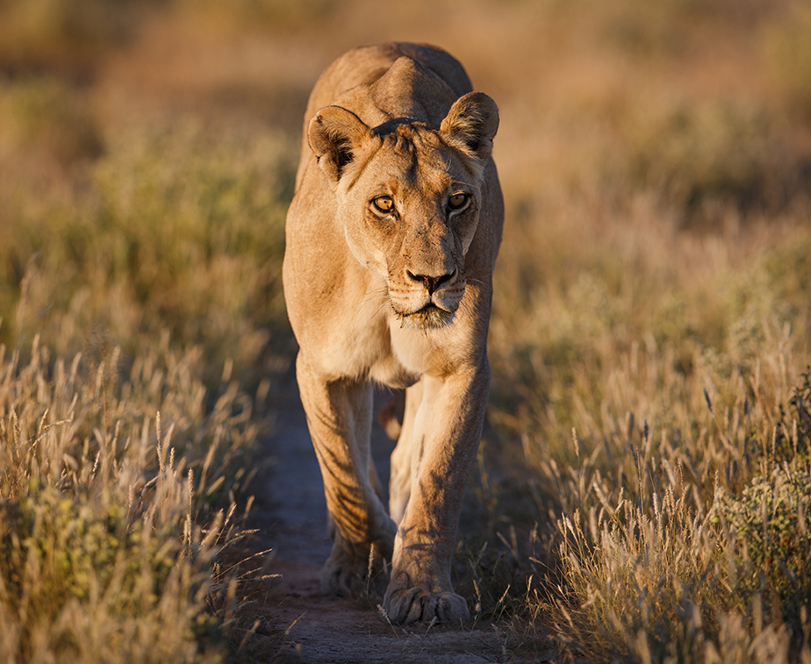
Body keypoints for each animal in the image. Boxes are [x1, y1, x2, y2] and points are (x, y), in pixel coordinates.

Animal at [282, 42, 503, 625]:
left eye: (457, 200)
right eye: (385, 204)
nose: (434, 280)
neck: (384, 296)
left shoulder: (462, 368)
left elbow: (438, 481)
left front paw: (422, 591)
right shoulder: (321, 368)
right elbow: (346, 481)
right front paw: (375, 548)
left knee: (406, 461)